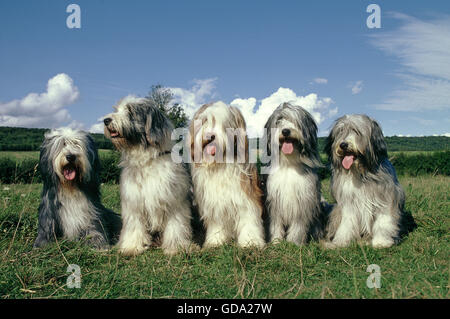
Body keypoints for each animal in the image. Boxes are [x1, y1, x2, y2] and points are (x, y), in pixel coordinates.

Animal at [103, 96, 193, 256]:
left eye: (130, 111)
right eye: (117, 109)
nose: (106, 120)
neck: (147, 161)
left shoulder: (174, 201)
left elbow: (176, 225)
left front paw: (176, 248)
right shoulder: (134, 202)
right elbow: (134, 226)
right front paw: (131, 247)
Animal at [188, 101, 266, 249]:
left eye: (224, 123)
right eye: (205, 120)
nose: (209, 136)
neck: (220, 164)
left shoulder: (246, 196)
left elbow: (249, 218)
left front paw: (251, 241)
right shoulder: (214, 201)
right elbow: (216, 223)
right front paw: (215, 240)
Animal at [262, 102, 326, 245]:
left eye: (295, 121)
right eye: (278, 121)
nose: (285, 131)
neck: (289, 164)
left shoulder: (303, 200)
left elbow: (298, 225)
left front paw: (294, 243)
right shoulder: (274, 201)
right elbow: (275, 223)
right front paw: (276, 241)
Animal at [324, 114, 412, 249]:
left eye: (356, 131)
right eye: (340, 131)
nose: (343, 145)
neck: (361, 172)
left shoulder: (386, 198)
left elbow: (383, 221)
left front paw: (381, 241)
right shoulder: (349, 202)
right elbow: (347, 223)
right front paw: (342, 241)